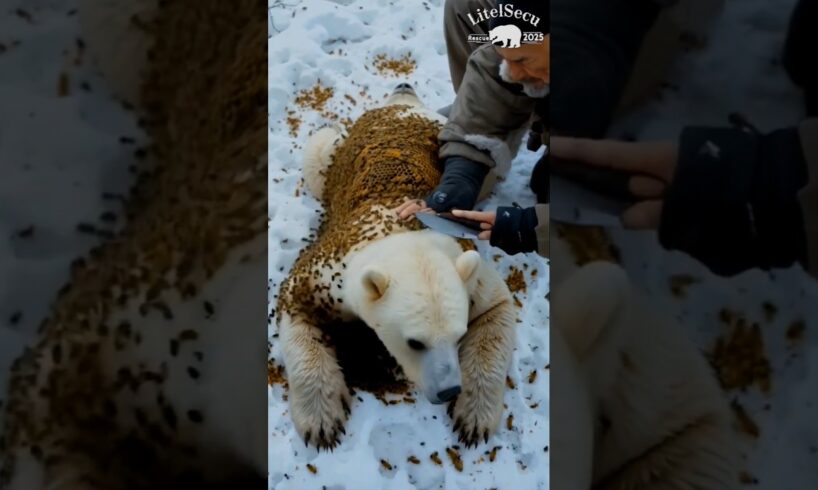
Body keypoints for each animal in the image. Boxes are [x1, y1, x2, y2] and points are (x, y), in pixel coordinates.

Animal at [278, 82, 512, 450]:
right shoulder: (325, 270)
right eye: (415, 342)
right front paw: (322, 422)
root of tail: (401, 105)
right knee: (319, 150)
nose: (449, 391)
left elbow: (496, 309)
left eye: (460, 335)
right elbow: (294, 306)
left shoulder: (466, 267)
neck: (396, 232)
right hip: (336, 158)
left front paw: (473, 418)